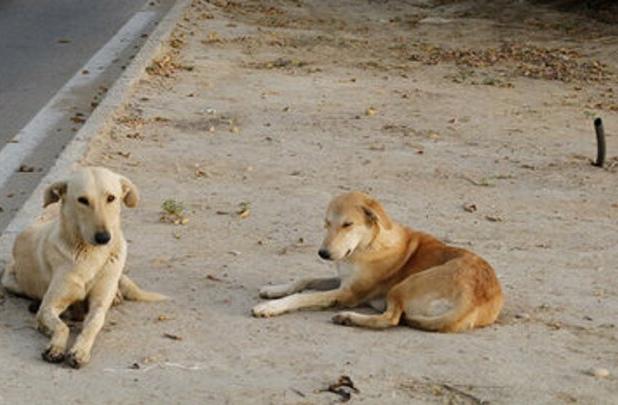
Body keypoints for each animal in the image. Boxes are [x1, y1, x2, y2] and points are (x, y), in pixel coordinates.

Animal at [0, 166, 166, 368]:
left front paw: (80, 350)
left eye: (111, 198)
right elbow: (62, 327)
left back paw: (117, 295)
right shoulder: (49, 307)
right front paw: (55, 348)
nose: (104, 238)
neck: (90, 255)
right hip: (9, 280)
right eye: (83, 200)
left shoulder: (99, 305)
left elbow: (93, 325)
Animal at [253, 192, 502, 332]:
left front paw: (271, 307)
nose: (323, 254)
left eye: (348, 224)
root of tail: (473, 298)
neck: (367, 246)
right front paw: (274, 289)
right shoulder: (343, 279)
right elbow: (305, 279)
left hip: (403, 286)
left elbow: (303, 296)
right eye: (326, 223)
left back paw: (348, 318)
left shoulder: (347, 293)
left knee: (391, 319)